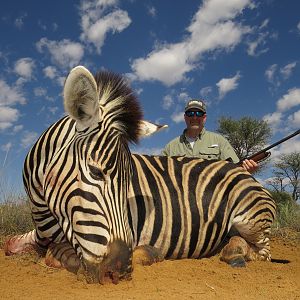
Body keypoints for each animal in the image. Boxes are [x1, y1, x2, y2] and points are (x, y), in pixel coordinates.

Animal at [4, 65, 276, 284]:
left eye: (129, 183)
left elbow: (54, 254)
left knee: (262, 252)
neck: (43, 210)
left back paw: (235, 253)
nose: (119, 272)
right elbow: (10, 245)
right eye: (95, 172)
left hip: (249, 220)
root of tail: (242, 171)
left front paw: (145, 253)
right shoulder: (39, 234)